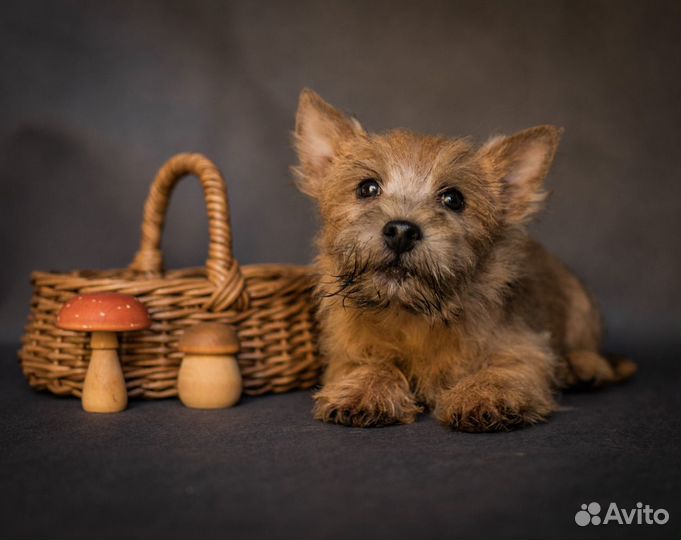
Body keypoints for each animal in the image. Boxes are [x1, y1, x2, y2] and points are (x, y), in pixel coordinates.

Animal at [294, 89, 636, 434]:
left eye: (453, 199)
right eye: (367, 188)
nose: (402, 231)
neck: (412, 315)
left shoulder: (526, 349)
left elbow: (505, 369)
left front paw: (483, 395)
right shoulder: (346, 353)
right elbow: (370, 363)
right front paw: (365, 389)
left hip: (581, 311)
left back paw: (582, 367)